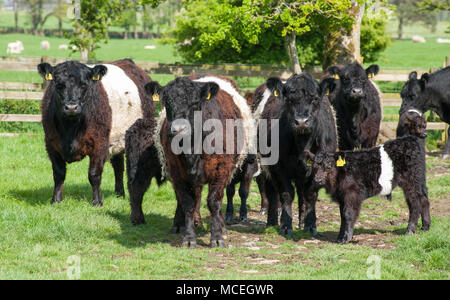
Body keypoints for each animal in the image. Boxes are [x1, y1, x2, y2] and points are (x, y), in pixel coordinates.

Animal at [37, 59, 153, 206]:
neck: (71, 129)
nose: (71, 107)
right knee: (118, 165)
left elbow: (94, 174)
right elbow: (59, 173)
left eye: (84, 85)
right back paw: (119, 193)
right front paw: (56, 200)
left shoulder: (99, 144)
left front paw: (97, 202)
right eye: (58, 85)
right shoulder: (51, 144)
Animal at [142, 75, 255, 248]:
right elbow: (187, 202)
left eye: (195, 103)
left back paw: (221, 226)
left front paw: (217, 237)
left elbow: (214, 202)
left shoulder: (222, 170)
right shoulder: (176, 171)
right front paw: (189, 238)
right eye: (166, 102)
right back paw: (182, 224)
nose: (178, 130)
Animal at [256, 74, 338, 236]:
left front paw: (310, 225)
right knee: (271, 190)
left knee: (302, 193)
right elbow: (286, 194)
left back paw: (301, 222)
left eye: (315, 99)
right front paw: (286, 226)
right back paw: (271, 222)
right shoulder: (280, 168)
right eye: (289, 100)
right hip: (266, 165)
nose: (301, 121)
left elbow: (310, 194)